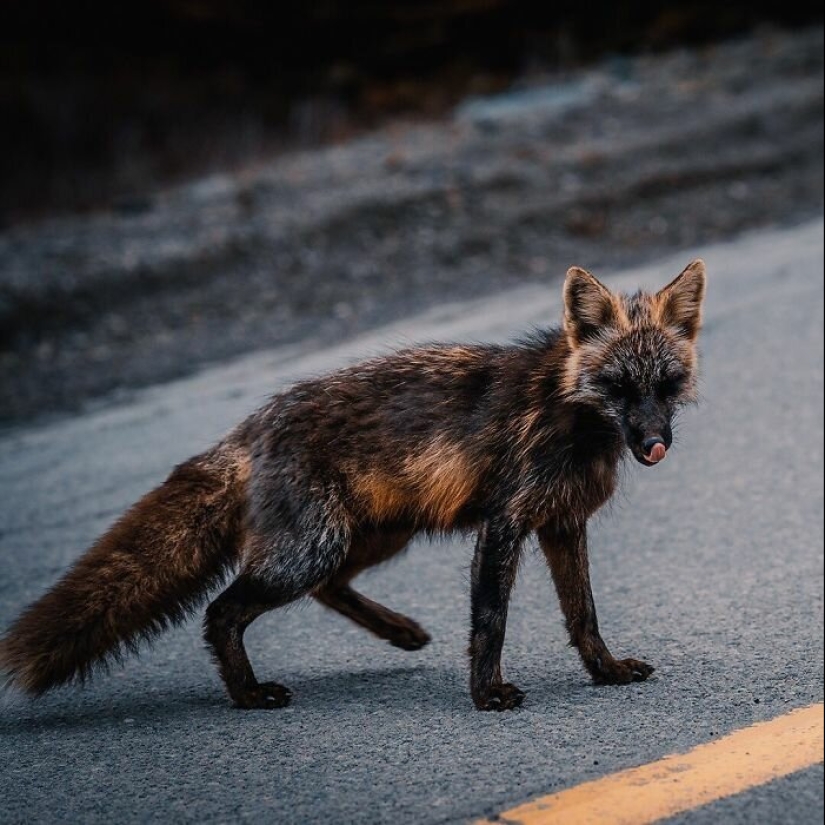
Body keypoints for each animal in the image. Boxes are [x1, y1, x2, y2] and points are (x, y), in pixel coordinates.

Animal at [3, 262, 704, 708]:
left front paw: (606, 673)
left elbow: (584, 616)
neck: (569, 417)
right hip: (311, 550)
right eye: (618, 386)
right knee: (222, 611)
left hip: (370, 538)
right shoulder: (506, 523)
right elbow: (491, 621)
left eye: (666, 384)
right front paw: (486, 695)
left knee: (327, 588)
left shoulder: (561, 523)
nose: (654, 444)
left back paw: (400, 632)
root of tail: (253, 424)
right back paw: (248, 695)